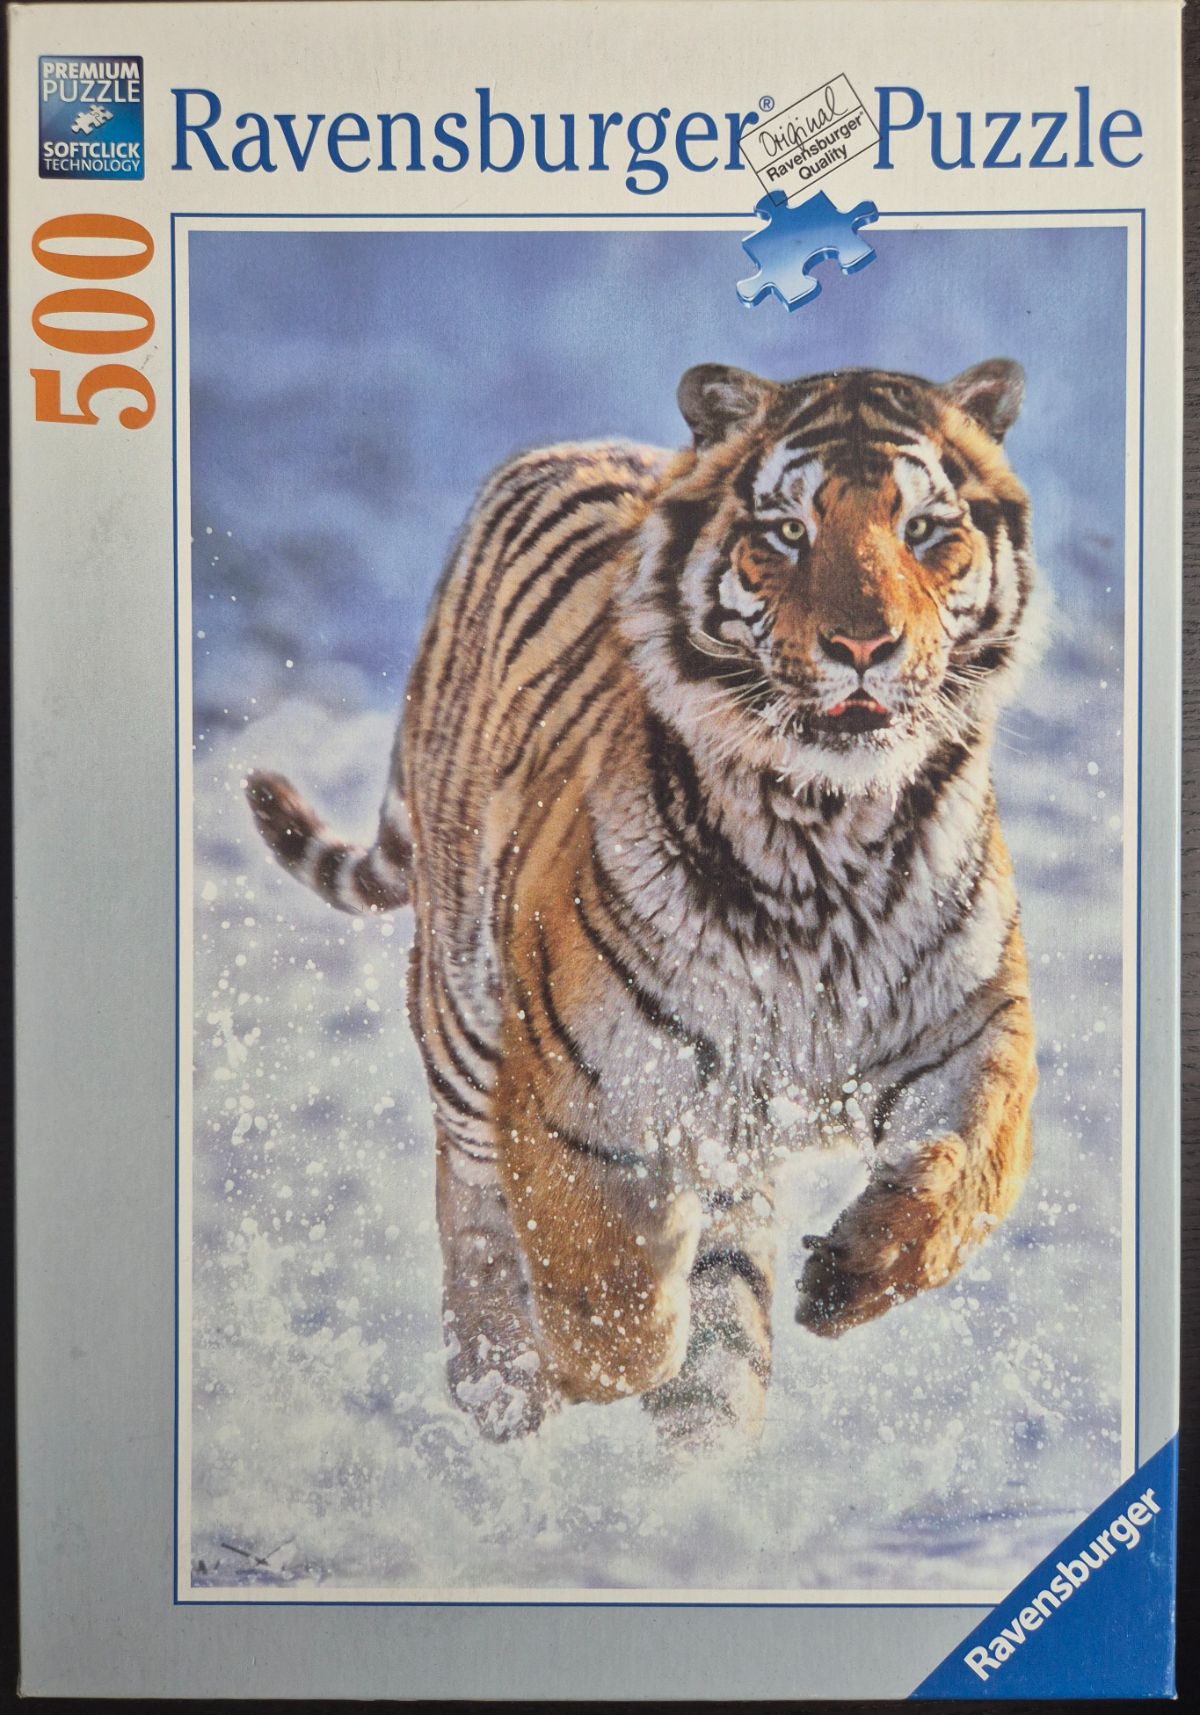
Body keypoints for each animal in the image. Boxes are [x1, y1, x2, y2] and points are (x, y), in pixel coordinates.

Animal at [246, 359, 1039, 1445]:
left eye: (924, 529)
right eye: (786, 531)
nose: (864, 644)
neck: (824, 832)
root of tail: (562, 446)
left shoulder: (972, 1026)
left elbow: (969, 1168)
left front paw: (852, 1273)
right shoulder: (576, 1091)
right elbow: (612, 1304)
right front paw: (582, 1359)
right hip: (462, 1018)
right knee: (472, 1198)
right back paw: (500, 1382)